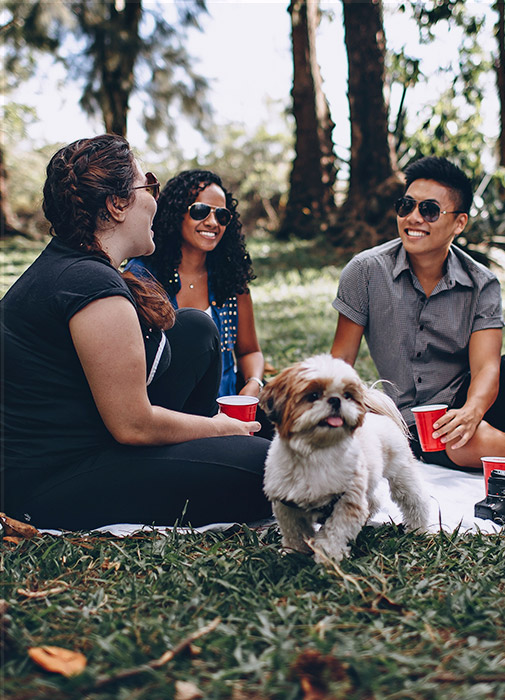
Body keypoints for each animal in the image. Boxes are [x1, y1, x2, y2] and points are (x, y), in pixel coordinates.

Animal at [260, 356, 430, 564]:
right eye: (313, 395)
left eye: (347, 395)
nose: (335, 400)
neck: (316, 452)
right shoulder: (287, 505)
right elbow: (295, 532)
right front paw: (294, 553)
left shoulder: (347, 501)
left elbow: (333, 532)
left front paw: (327, 557)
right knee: (372, 501)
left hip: (401, 473)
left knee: (415, 500)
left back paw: (418, 528)